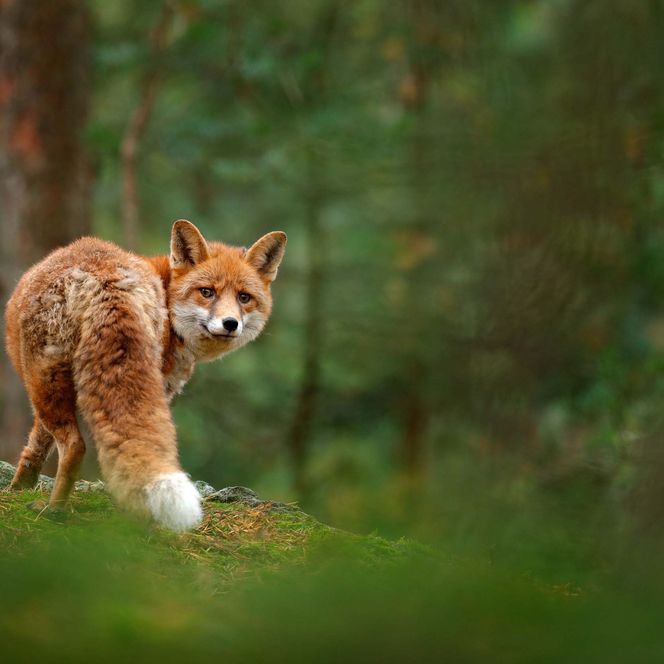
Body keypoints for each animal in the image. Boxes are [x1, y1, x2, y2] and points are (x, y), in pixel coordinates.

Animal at [3, 219, 286, 532]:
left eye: (244, 297)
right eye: (207, 292)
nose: (230, 323)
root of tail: (106, 281)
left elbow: (35, 444)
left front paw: (18, 488)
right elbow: (38, 443)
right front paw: (20, 487)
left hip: (43, 381)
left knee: (75, 446)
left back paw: (54, 510)